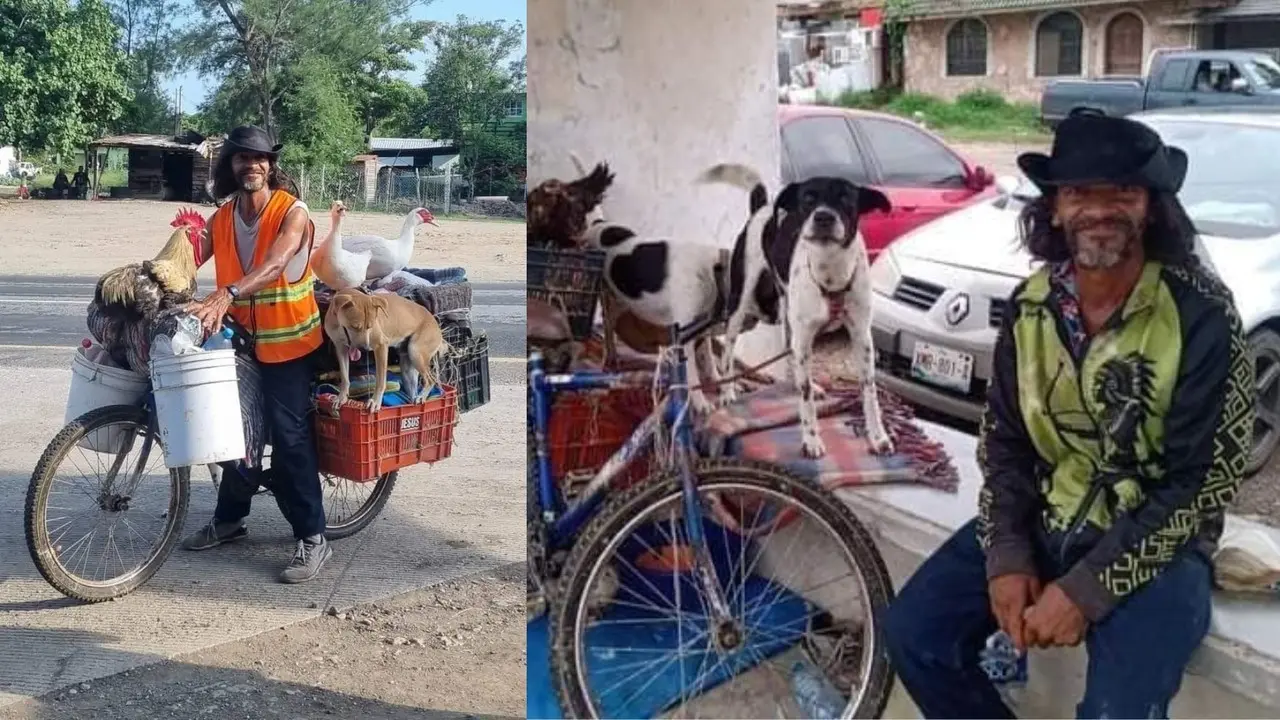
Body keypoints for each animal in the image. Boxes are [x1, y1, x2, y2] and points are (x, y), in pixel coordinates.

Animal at [701, 163, 890, 456]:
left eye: (846, 198)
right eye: (808, 199)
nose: (823, 217)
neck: (830, 271)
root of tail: (762, 208)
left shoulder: (862, 337)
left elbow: (869, 392)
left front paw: (878, 436)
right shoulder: (805, 337)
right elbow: (806, 399)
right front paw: (811, 439)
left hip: (788, 313)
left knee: (792, 356)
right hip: (740, 303)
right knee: (729, 350)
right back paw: (728, 391)